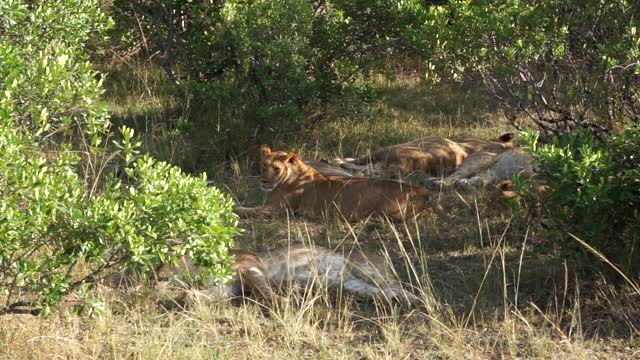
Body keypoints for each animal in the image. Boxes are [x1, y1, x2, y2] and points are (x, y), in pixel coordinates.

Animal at [235, 145, 440, 221]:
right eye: (264, 165)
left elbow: (246, 210)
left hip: (386, 212)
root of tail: (423, 191)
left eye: (276, 169)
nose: (263, 181)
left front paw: (234, 209)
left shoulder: (277, 210)